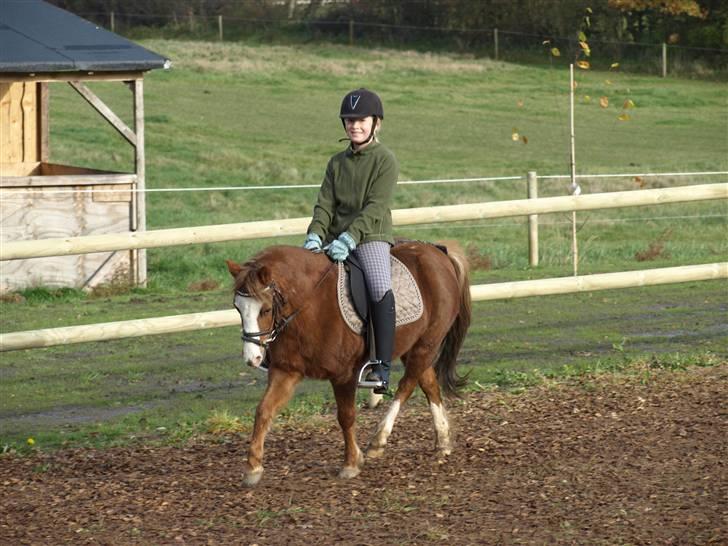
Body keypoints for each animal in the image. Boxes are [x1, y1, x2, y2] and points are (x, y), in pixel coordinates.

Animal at [225, 240, 472, 482]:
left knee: (406, 386)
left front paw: (351, 463)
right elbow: (264, 410)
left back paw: (379, 440)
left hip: (426, 344)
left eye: (265, 309)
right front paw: (253, 468)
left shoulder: (343, 374)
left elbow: (346, 416)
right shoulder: (286, 370)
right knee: (429, 384)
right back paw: (443, 440)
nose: (253, 358)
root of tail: (437, 251)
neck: (310, 303)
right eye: (237, 308)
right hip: (414, 345)